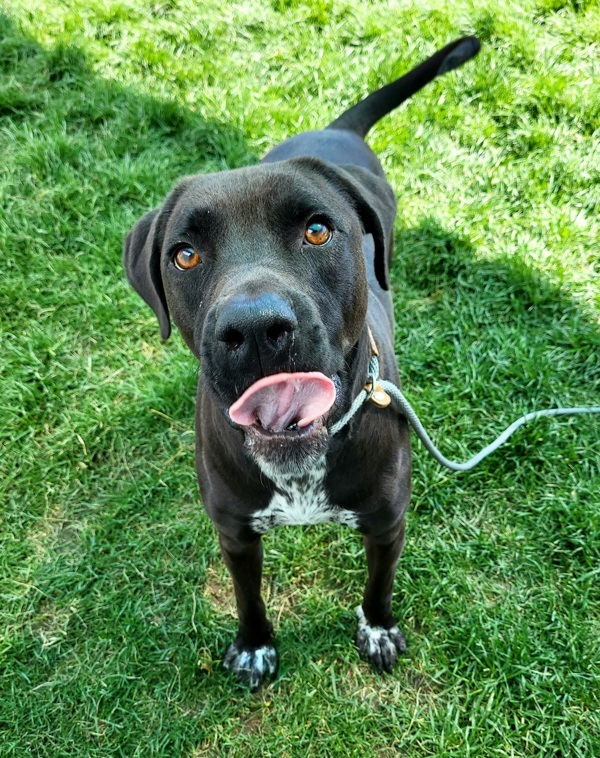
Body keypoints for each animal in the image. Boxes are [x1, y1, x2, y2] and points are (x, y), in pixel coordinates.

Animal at [124, 35, 480, 692]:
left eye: (318, 231)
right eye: (184, 255)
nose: (255, 329)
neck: (298, 464)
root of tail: (334, 130)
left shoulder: (387, 523)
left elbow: (379, 585)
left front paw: (378, 630)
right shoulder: (235, 531)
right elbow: (247, 597)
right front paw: (254, 646)